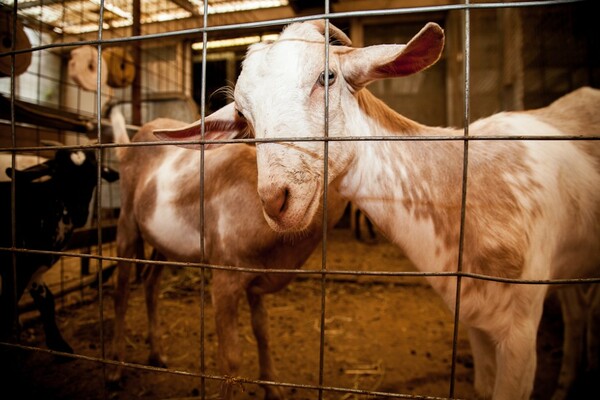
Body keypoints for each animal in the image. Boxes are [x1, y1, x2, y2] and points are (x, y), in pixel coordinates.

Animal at [0, 148, 119, 352]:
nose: (80, 215)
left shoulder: (34, 269)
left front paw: (58, 345)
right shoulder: (18, 267)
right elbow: (7, 310)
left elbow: (47, 301)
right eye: (61, 175)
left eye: (92, 177)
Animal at [105, 107, 344, 400]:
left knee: (150, 282)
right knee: (121, 293)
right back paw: (115, 369)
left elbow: (262, 330)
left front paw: (272, 387)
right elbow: (230, 360)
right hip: (127, 221)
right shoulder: (225, 279)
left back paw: (157, 354)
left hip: (163, 243)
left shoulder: (257, 277)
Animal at [158, 21, 600, 400]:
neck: (466, 184)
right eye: (243, 115)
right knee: (578, 310)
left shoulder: (520, 332)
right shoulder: (477, 321)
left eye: (327, 77)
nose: (275, 199)